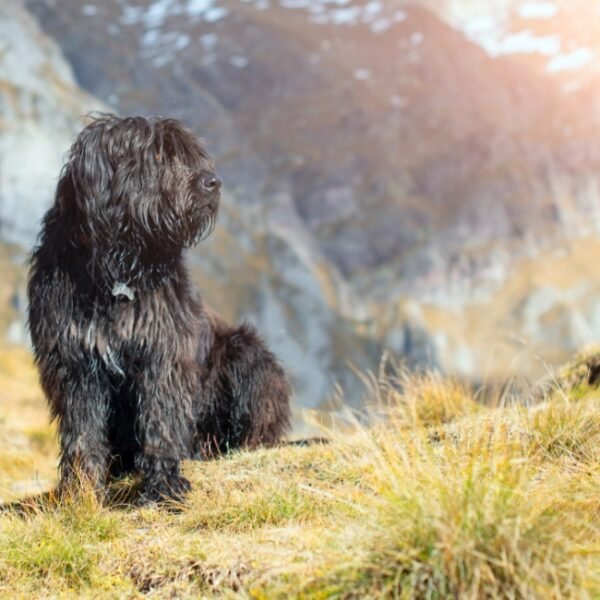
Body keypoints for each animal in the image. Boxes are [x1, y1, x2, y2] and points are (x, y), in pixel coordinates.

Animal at [28, 112, 290, 502]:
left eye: (190, 154)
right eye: (156, 156)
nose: (213, 183)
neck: (117, 269)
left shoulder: (164, 350)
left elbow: (161, 418)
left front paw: (163, 484)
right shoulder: (75, 362)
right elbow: (82, 430)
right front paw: (82, 492)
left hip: (245, 352)